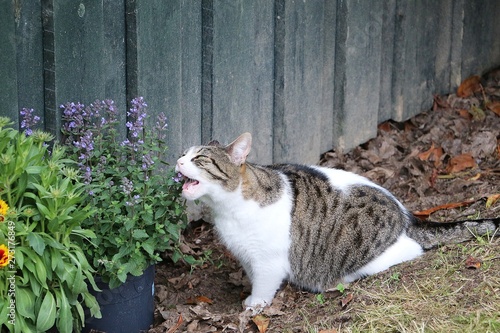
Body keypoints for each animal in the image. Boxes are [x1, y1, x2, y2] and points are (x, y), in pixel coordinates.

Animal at [175, 131, 496, 308]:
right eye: (184, 153)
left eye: (199, 159)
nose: (177, 160)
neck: (227, 208)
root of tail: (407, 216)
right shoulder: (247, 255)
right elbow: (254, 278)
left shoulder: (268, 260)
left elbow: (264, 285)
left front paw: (255, 304)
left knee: (412, 251)